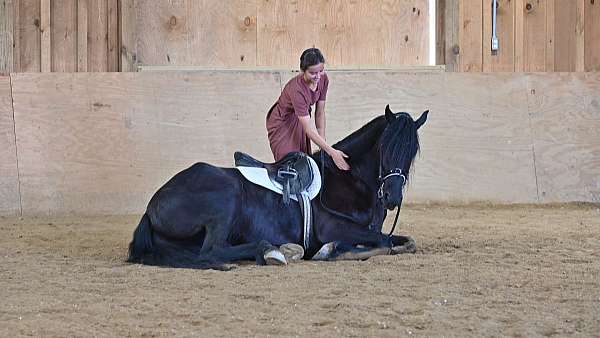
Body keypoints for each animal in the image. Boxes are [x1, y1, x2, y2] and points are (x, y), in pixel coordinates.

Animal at [126, 105, 426, 270]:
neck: (349, 179)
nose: (392, 196)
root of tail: (152, 206)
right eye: (386, 147)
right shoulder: (333, 227)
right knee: (212, 250)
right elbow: (382, 243)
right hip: (225, 199)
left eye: (412, 151)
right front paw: (329, 251)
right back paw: (273, 251)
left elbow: (404, 242)